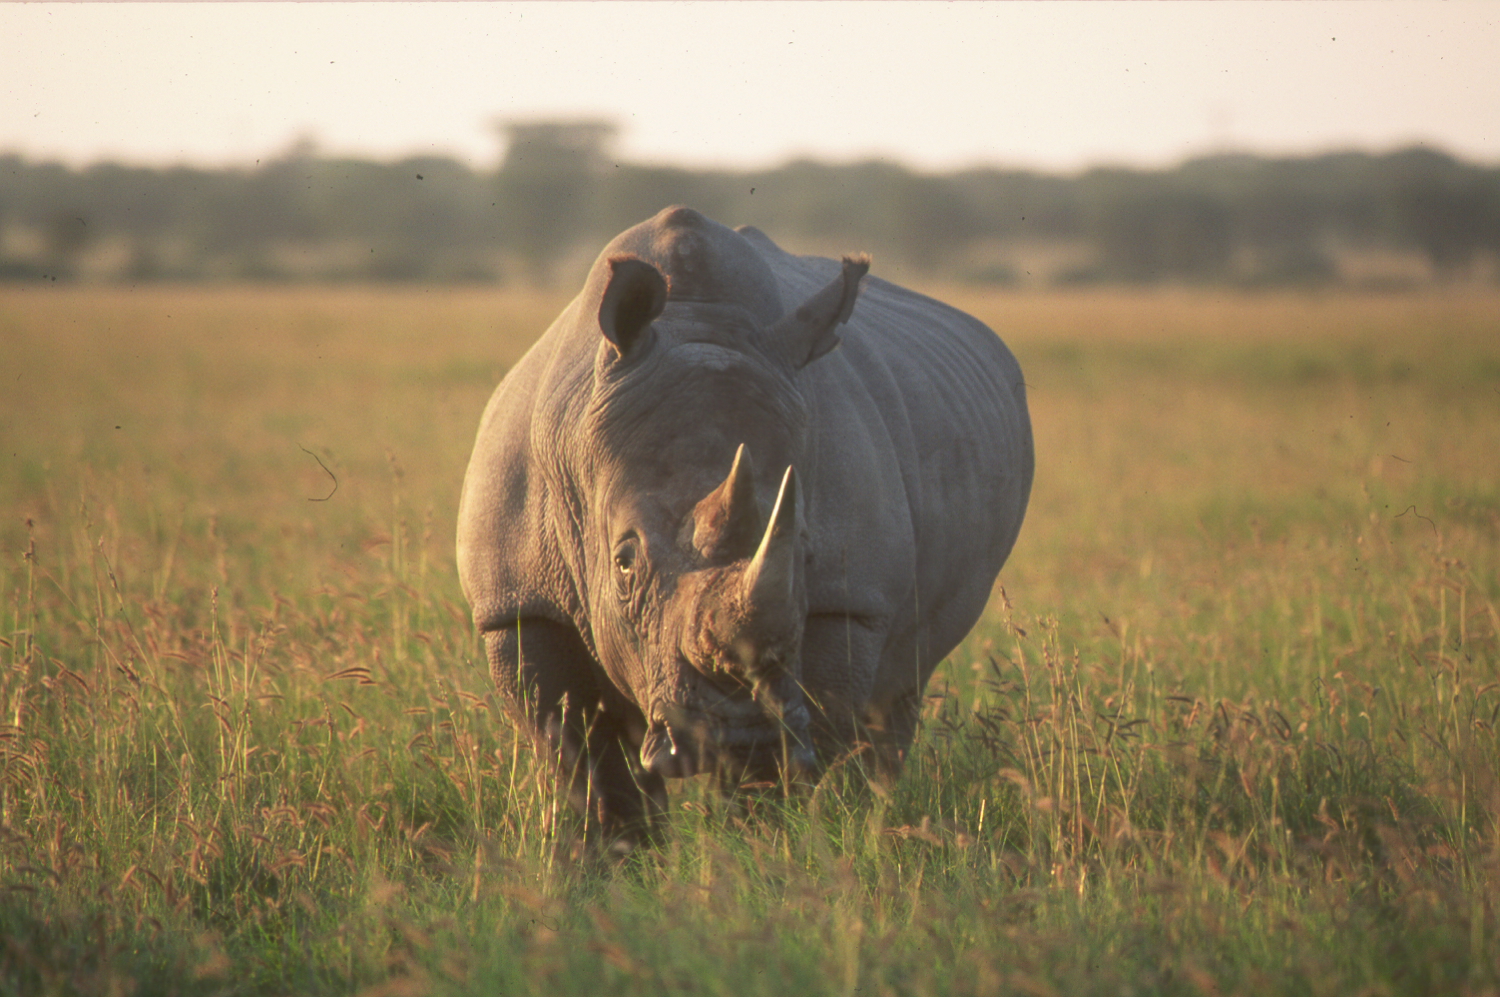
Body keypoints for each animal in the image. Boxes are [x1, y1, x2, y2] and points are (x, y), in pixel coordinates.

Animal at [457, 206, 1032, 845]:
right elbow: (581, 755)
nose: (739, 735)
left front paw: (762, 846)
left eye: (806, 554)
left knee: (900, 688)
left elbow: (816, 725)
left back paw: (872, 819)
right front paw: (618, 859)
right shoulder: (517, 604)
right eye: (624, 562)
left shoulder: (849, 601)